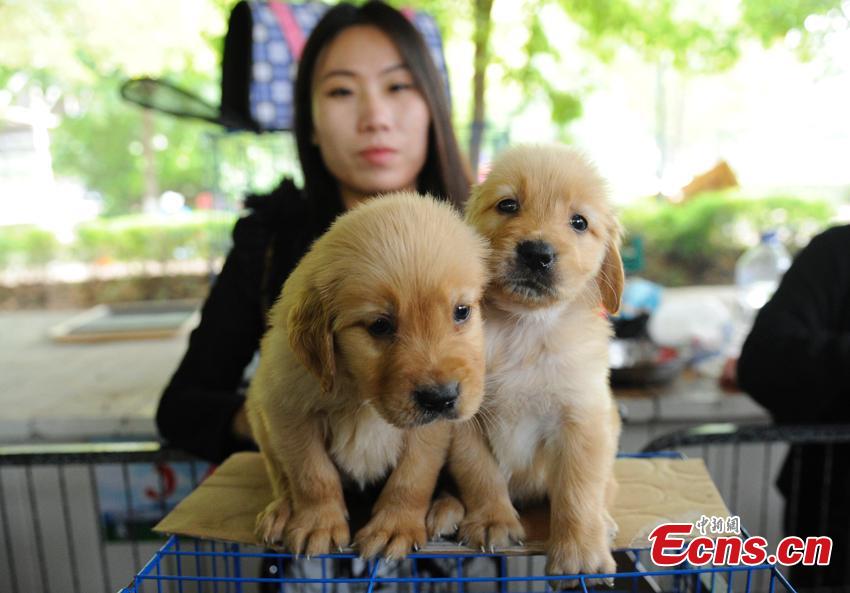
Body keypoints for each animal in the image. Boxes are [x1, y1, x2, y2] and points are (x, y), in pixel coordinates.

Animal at [247, 191, 484, 560]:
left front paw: (394, 527)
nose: (441, 397)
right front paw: (319, 523)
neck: (362, 395)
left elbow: (412, 477)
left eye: (461, 311)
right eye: (380, 326)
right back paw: (281, 510)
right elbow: (311, 474)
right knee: (281, 475)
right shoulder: (288, 408)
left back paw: (445, 509)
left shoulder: (431, 432)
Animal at [448, 145, 620, 584]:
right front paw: (492, 520)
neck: (523, 328)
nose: (537, 254)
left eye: (579, 222)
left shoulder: (582, 419)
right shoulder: (462, 417)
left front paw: (579, 553)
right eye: (508, 204)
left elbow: (578, 490)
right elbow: (479, 473)